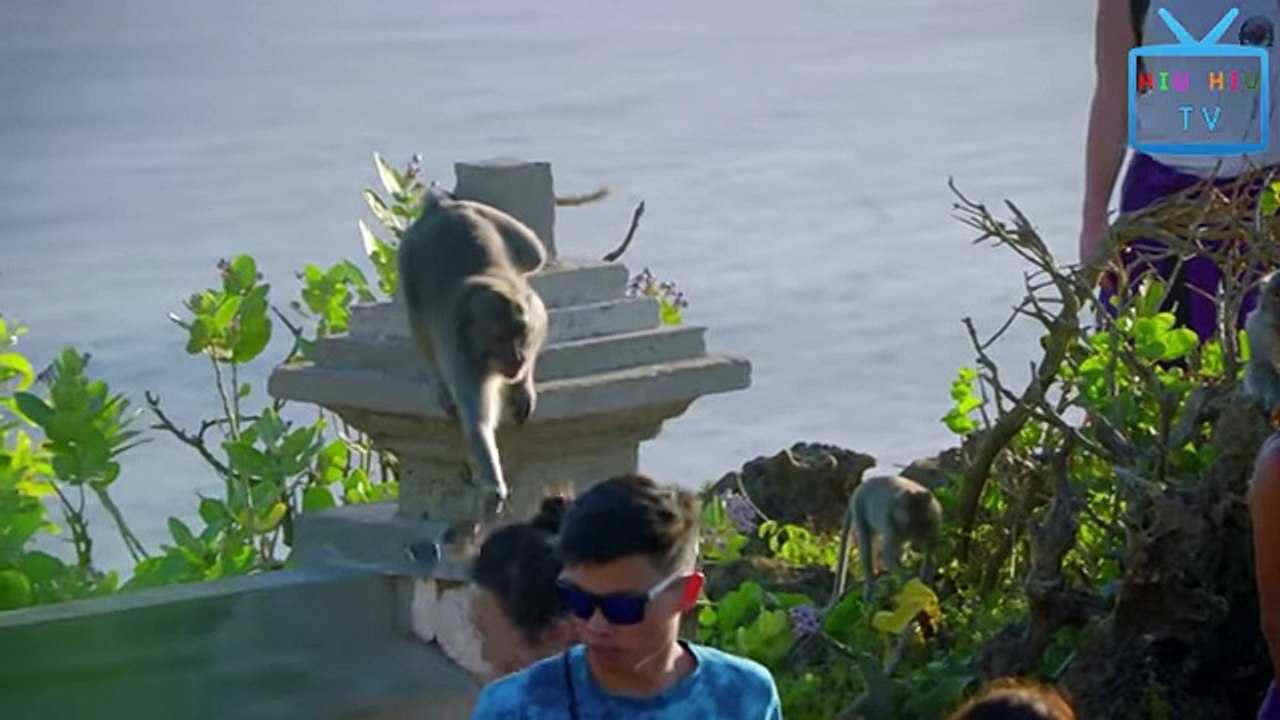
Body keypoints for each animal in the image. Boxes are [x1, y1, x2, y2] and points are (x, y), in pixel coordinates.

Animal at [397, 188, 549, 516]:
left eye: (521, 337)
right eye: (503, 338)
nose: (519, 358)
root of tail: (441, 209)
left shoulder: (536, 315)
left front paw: (524, 385)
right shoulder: (463, 358)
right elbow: (478, 423)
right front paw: (494, 484)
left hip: (486, 214)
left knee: (535, 253)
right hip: (407, 255)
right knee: (417, 319)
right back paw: (438, 383)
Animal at [827, 474, 942, 607]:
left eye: (923, 524)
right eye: (909, 525)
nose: (917, 546)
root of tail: (859, 488)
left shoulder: (934, 522)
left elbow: (930, 550)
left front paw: (926, 579)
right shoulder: (892, 526)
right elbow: (889, 555)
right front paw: (909, 581)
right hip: (860, 510)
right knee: (866, 546)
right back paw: (870, 586)